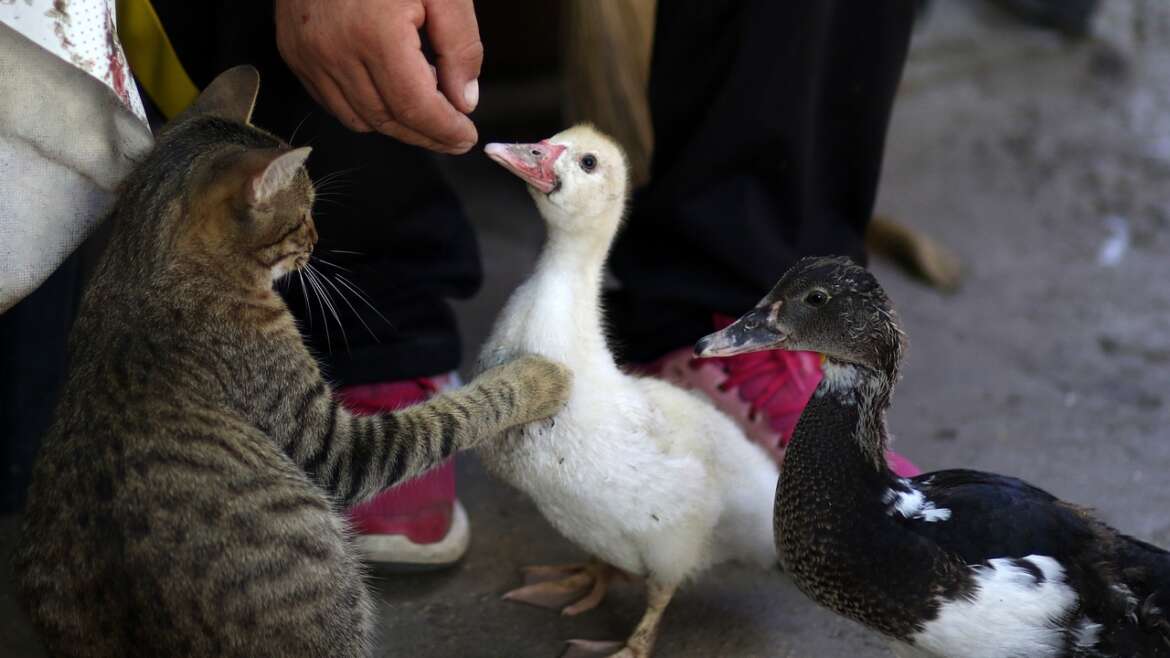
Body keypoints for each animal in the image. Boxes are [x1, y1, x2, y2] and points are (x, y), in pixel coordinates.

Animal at [13, 66, 570, 655]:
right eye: (304, 214)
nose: (317, 239)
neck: (145, 268)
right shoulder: (335, 445)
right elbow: (448, 416)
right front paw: (538, 377)